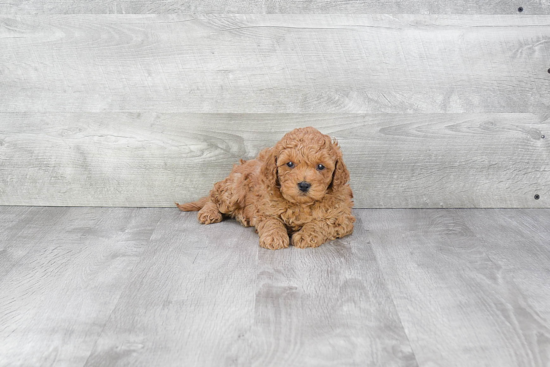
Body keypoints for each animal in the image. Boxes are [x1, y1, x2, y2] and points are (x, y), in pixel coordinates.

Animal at [178, 126, 358, 250]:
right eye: (290, 164)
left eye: (321, 166)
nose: (304, 184)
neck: (301, 204)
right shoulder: (265, 210)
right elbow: (272, 222)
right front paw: (275, 237)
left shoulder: (342, 217)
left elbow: (321, 223)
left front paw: (307, 235)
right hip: (233, 188)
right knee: (214, 198)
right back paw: (209, 212)